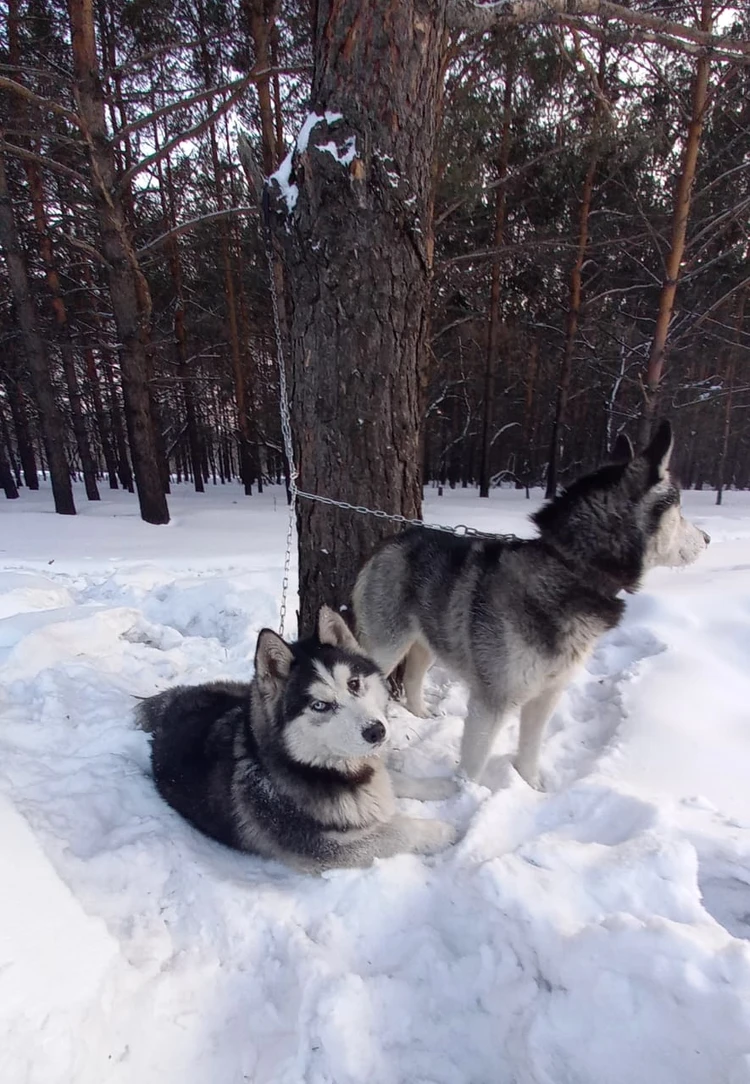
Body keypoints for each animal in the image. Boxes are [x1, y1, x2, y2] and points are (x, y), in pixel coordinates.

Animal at [136, 611, 457, 871]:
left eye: (354, 684)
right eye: (319, 705)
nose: (377, 731)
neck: (318, 768)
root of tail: (176, 700)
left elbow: (395, 779)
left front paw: (441, 785)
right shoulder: (323, 847)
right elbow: (398, 831)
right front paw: (444, 830)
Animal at [351, 420, 710, 789]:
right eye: (680, 510)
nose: (708, 539)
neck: (568, 567)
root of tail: (390, 541)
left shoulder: (547, 694)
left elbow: (530, 748)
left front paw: (531, 786)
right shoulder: (492, 701)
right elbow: (474, 764)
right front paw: (465, 792)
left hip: (428, 640)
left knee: (413, 676)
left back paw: (420, 713)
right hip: (387, 647)